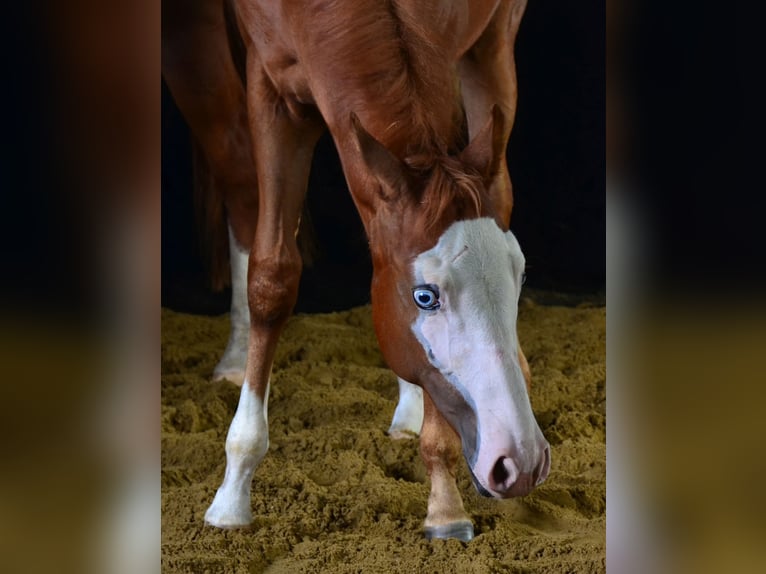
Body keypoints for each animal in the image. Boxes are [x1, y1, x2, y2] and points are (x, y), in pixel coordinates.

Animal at [162, 0, 550, 542]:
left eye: (520, 278)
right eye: (425, 296)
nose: (521, 461)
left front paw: (444, 502)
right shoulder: (273, 91)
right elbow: (272, 277)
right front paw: (232, 497)